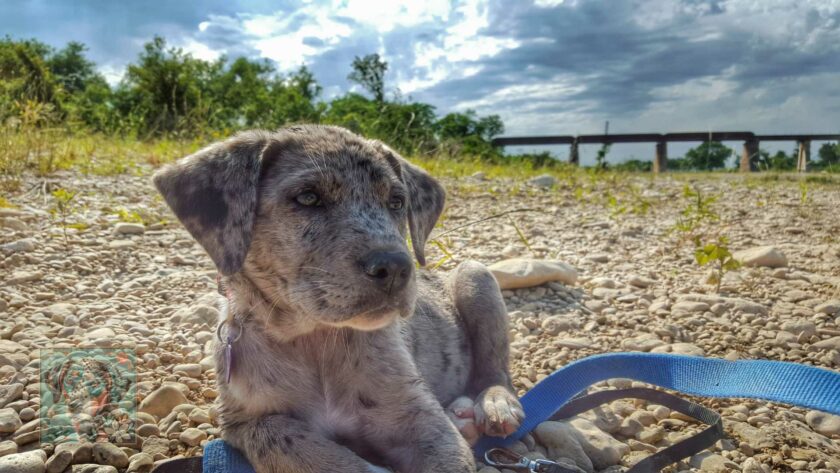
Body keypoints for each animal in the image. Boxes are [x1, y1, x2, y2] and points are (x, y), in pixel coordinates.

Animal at [150, 123, 520, 470]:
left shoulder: (421, 418)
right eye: (308, 198)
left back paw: (495, 404)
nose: (396, 267)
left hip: (476, 276)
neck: (315, 339)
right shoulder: (243, 422)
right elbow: (296, 447)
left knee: (495, 369)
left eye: (397, 202)